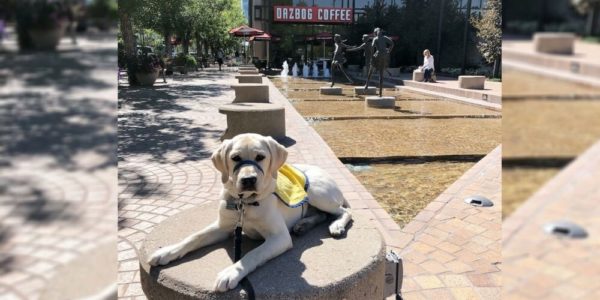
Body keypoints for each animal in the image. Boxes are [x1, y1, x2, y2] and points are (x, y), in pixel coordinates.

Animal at [147, 134, 352, 292]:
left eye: (260, 156)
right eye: (235, 157)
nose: (248, 180)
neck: (245, 203)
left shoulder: (279, 237)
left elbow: (253, 254)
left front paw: (231, 272)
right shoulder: (223, 227)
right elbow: (194, 237)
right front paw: (167, 252)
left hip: (317, 192)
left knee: (343, 211)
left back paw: (336, 225)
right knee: (322, 214)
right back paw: (303, 224)